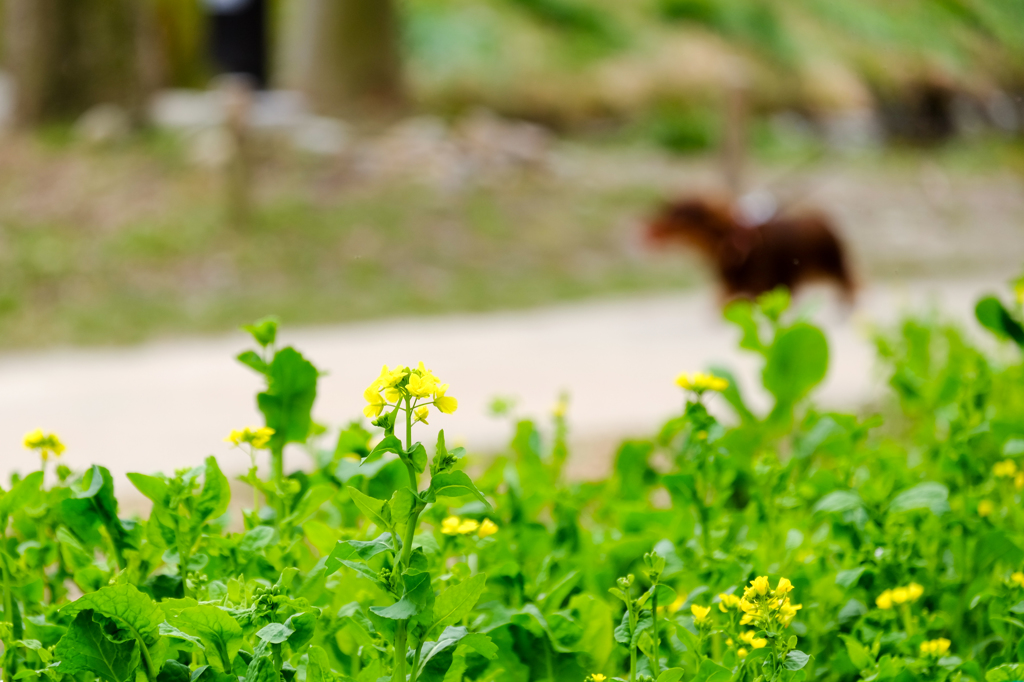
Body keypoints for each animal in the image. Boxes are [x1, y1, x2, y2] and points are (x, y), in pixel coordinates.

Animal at [647, 196, 856, 303]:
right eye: (671, 211)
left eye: (681, 214)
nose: (650, 230)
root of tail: (824, 219)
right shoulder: (737, 287)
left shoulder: (762, 286)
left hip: (832, 264)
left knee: (849, 285)